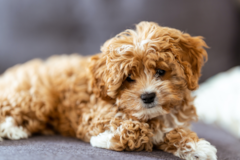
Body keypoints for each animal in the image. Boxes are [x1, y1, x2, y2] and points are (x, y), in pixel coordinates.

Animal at [0, 21, 218, 160]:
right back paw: (10, 129)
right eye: (128, 78)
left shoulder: (174, 122)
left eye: (160, 71)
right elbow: (138, 129)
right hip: (34, 96)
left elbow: (172, 131)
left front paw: (196, 147)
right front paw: (106, 138)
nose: (148, 96)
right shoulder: (94, 114)